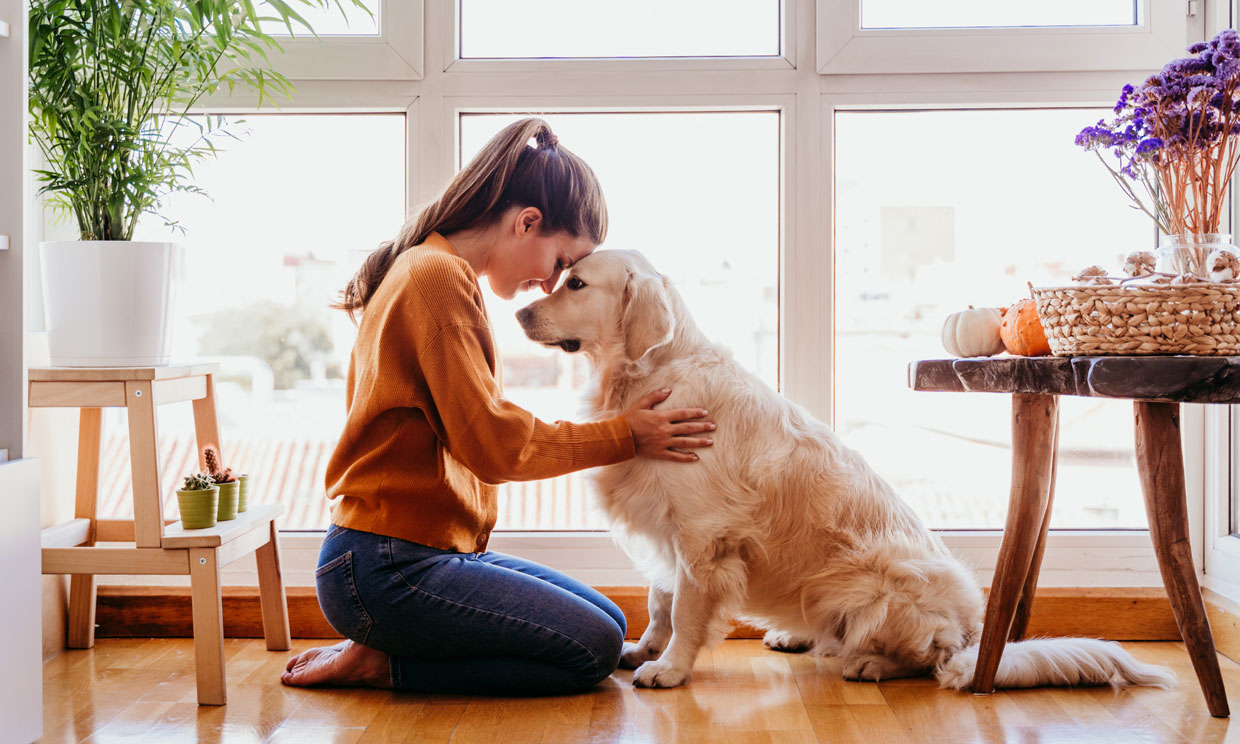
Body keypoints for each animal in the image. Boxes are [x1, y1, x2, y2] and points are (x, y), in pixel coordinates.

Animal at [513, 250, 1170, 689]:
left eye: (575, 283)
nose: (518, 314)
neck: (649, 375)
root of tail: (974, 632)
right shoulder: (665, 527)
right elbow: (658, 599)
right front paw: (643, 650)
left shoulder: (702, 537)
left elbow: (687, 609)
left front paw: (669, 668)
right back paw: (797, 634)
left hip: (877, 585)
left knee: (927, 659)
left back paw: (869, 662)